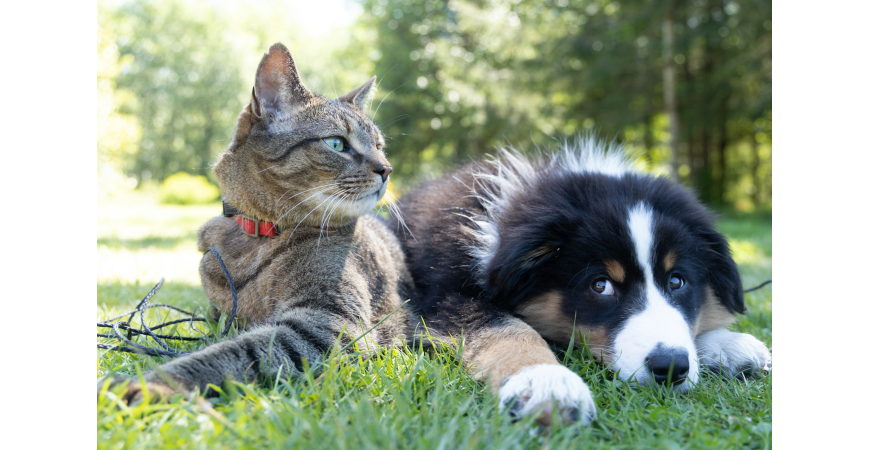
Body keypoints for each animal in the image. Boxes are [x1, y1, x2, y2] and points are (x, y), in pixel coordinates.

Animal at [102, 44, 416, 402]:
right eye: (336, 143)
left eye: (379, 146)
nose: (387, 168)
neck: (258, 235)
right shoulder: (221, 315)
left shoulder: (328, 323)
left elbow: (232, 353)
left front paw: (153, 384)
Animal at [392, 137, 772, 426]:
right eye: (600, 286)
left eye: (677, 281)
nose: (670, 367)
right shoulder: (447, 295)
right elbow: (507, 328)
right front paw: (546, 382)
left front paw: (726, 344)